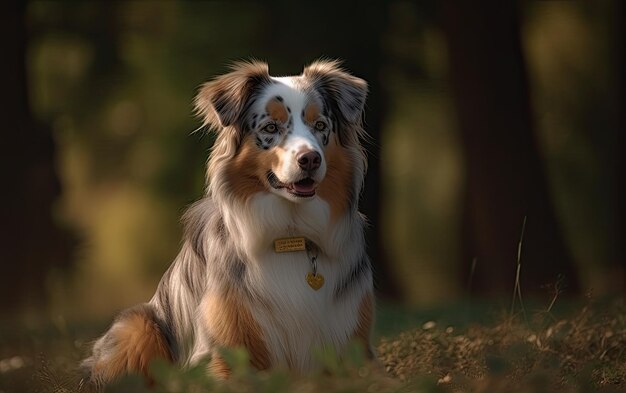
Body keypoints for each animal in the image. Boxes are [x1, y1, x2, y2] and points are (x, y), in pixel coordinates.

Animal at [80, 59, 372, 384]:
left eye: (320, 126)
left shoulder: (352, 345)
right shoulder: (224, 353)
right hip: (139, 325)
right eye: (270, 127)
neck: (290, 233)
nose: (310, 159)